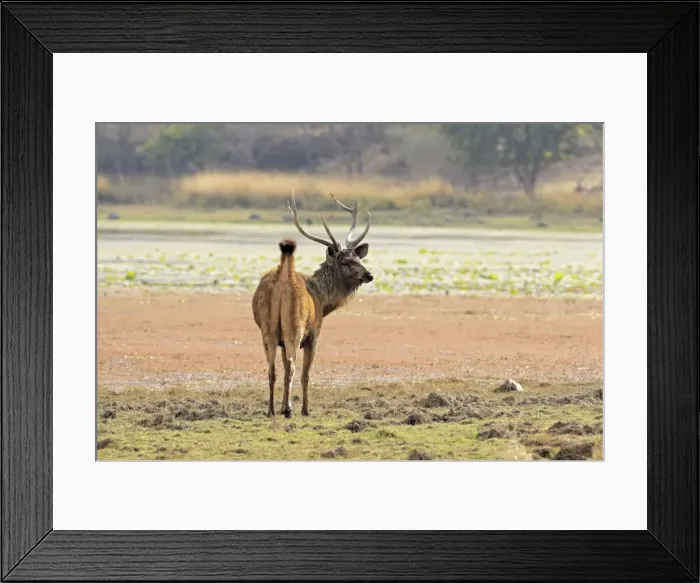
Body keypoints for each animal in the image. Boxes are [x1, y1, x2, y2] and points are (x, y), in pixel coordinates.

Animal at [252, 191, 374, 418]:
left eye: (358, 258)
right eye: (345, 262)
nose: (369, 275)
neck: (323, 301)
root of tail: (284, 278)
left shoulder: (281, 340)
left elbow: (282, 368)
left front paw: (284, 405)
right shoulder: (314, 334)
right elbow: (306, 374)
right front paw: (305, 409)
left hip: (268, 329)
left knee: (272, 369)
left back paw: (271, 410)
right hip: (294, 326)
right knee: (292, 367)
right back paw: (288, 410)